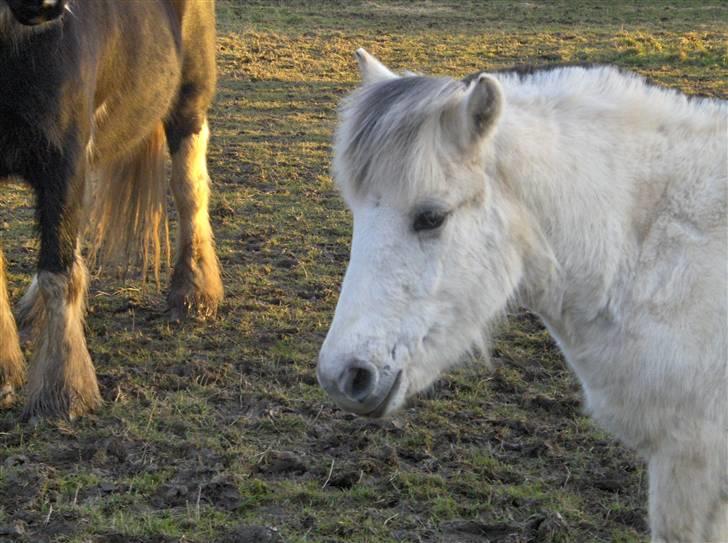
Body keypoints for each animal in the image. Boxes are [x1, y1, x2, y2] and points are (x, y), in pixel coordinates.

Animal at [0, 0, 222, 420]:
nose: (47, 7)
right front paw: (5, 372)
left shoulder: (63, 162)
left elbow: (59, 274)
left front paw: (63, 393)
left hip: (188, 105)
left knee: (191, 194)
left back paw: (194, 293)